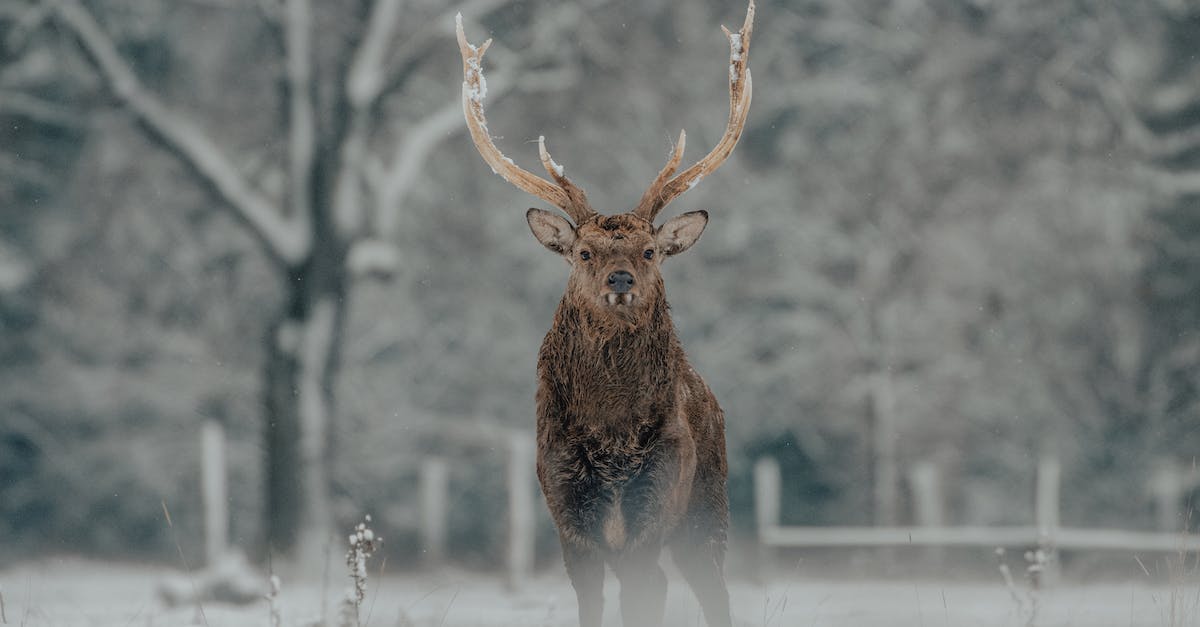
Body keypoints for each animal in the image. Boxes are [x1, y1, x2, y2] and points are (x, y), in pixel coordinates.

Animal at [457, 2, 753, 626]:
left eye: (649, 251)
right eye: (585, 252)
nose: (621, 279)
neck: (612, 438)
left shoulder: (656, 497)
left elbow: (645, 593)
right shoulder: (566, 507)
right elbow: (591, 599)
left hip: (707, 502)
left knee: (708, 588)